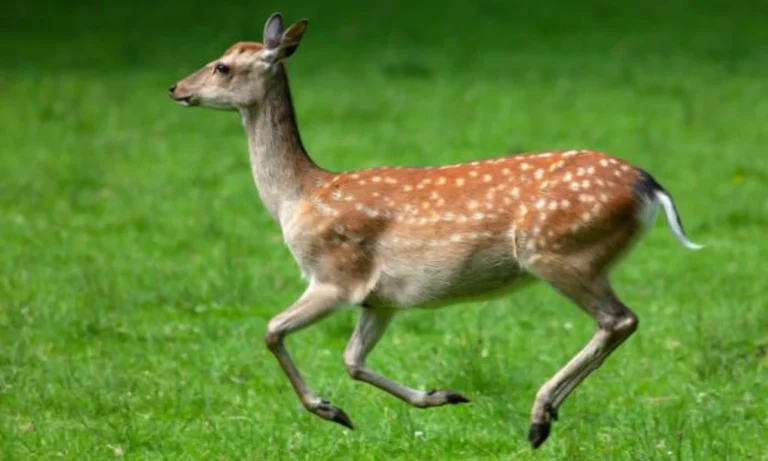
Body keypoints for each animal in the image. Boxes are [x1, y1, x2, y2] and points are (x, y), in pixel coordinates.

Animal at [167, 12, 703, 449]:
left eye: (222, 66)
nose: (175, 88)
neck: (296, 198)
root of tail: (650, 187)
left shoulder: (336, 276)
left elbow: (272, 330)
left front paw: (328, 409)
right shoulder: (380, 299)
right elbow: (352, 359)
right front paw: (439, 395)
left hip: (559, 252)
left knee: (619, 319)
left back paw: (538, 418)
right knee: (618, 321)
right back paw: (544, 416)